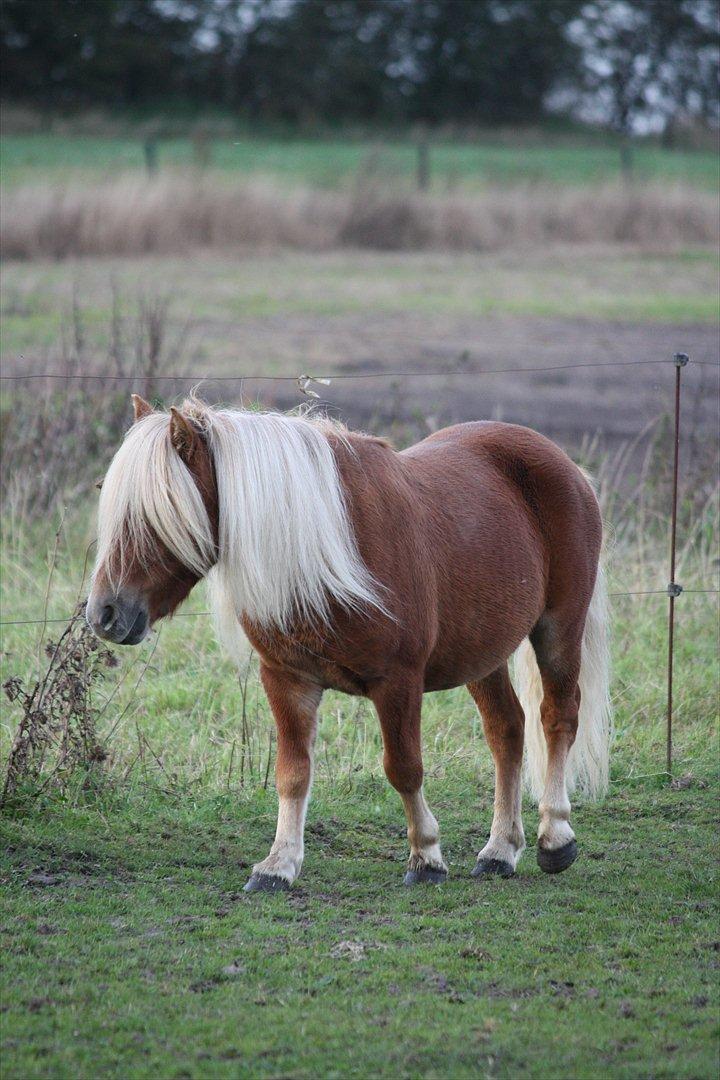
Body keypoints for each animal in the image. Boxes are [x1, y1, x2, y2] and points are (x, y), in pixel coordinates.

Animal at [87, 393, 613, 889]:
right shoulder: (286, 678)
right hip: (482, 653)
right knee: (507, 730)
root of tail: (563, 463)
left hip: (559, 628)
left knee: (557, 717)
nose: (104, 614)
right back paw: (500, 851)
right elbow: (293, 773)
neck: (323, 552)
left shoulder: (398, 682)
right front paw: (278, 865)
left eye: (156, 512)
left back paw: (555, 838)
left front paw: (426, 857)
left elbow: (403, 767)